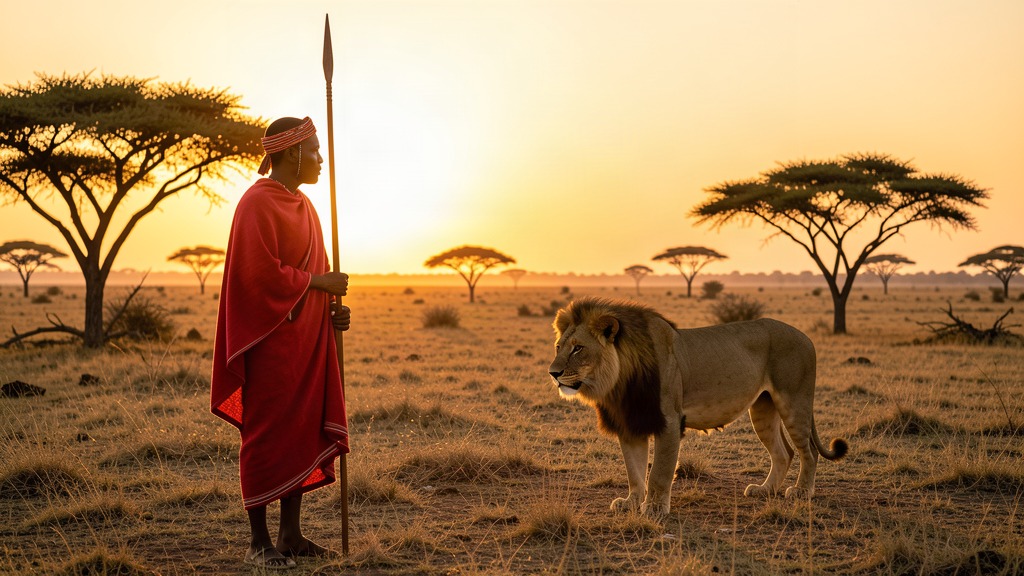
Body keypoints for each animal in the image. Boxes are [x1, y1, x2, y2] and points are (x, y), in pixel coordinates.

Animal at [548, 296, 848, 518]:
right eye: (558, 346)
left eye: (578, 348)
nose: (553, 373)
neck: (620, 379)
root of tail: (806, 336)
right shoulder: (631, 423)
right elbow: (634, 470)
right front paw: (631, 502)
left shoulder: (668, 421)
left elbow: (659, 471)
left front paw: (654, 508)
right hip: (763, 408)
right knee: (784, 452)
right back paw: (765, 490)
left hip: (794, 401)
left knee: (809, 451)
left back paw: (801, 492)